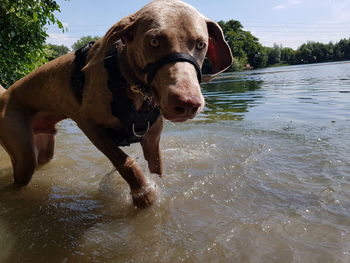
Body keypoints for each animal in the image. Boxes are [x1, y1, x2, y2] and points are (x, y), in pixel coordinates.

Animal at [0, 0, 232, 209]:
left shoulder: (152, 137)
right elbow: (125, 162)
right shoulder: (88, 123)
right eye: (154, 42)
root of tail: (6, 94)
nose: (187, 103)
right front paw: (143, 195)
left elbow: (156, 166)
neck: (127, 80)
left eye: (201, 44)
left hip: (43, 144)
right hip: (23, 151)